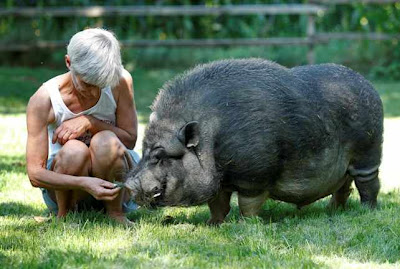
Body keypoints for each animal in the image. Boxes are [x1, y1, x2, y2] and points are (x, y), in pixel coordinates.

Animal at [126, 58, 382, 224]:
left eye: (160, 156)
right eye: (144, 150)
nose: (127, 184)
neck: (212, 137)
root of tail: (368, 85)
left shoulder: (256, 175)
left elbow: (248, 204)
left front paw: (246, 224)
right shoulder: (221, 182)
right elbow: (218, 204)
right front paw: (213, 224)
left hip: (368, 152)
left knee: (368, 184)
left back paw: (366, 211)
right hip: (346, 166)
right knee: (343, 186)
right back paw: (332, 211)